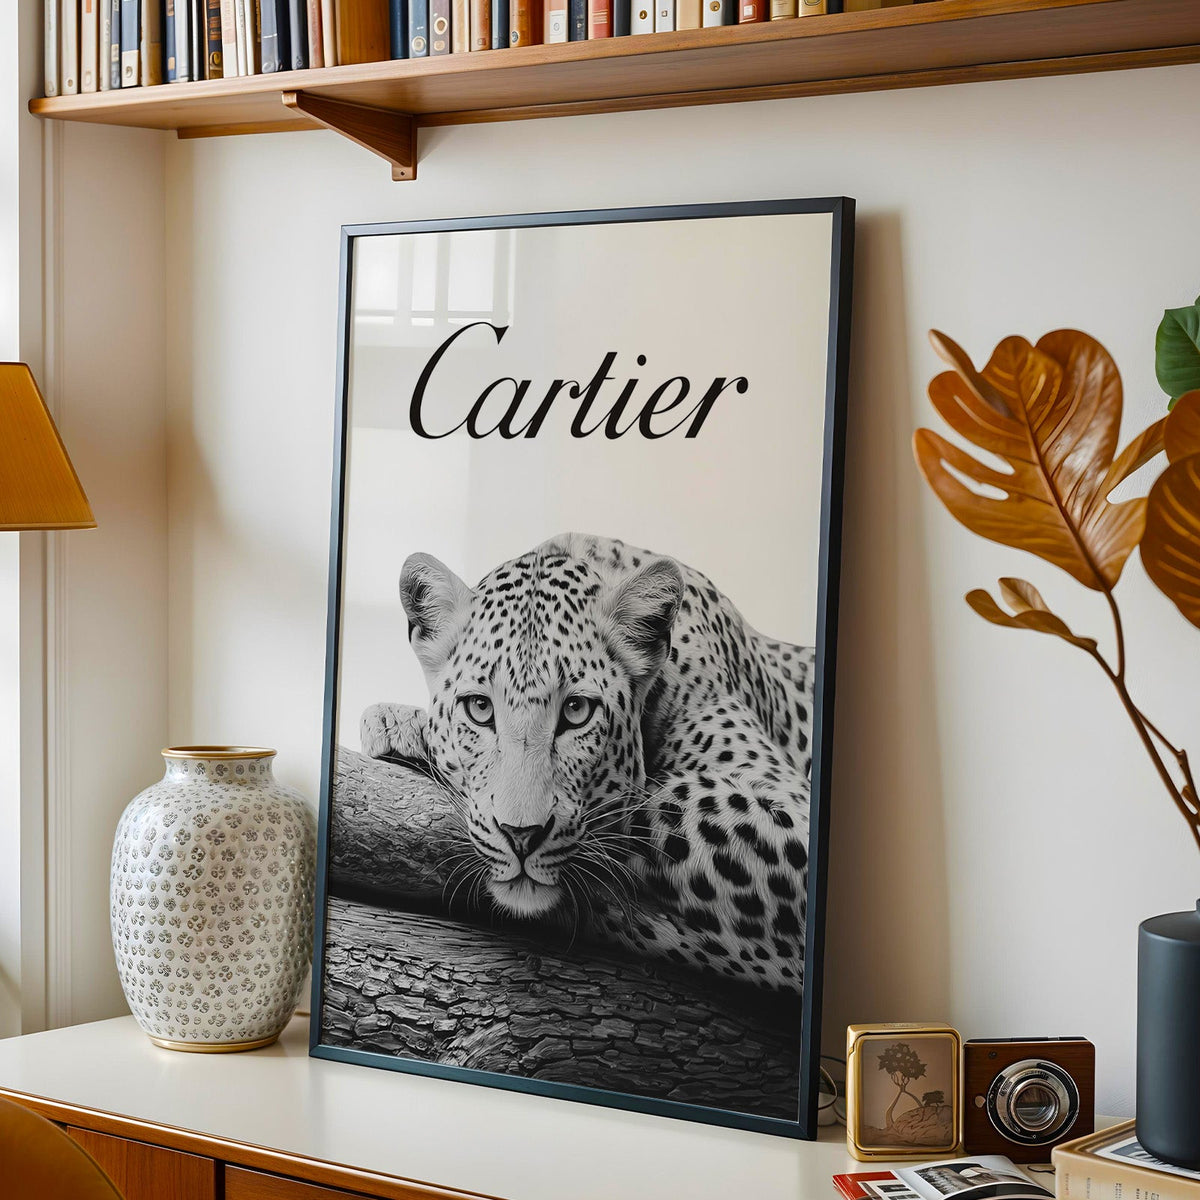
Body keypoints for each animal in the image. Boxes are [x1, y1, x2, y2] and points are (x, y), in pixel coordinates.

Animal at [360, 533, 815, 993]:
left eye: (576, 710)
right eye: (479, 708)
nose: (520, 836)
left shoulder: (793, 812)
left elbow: (655, 803)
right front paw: (398, 724)